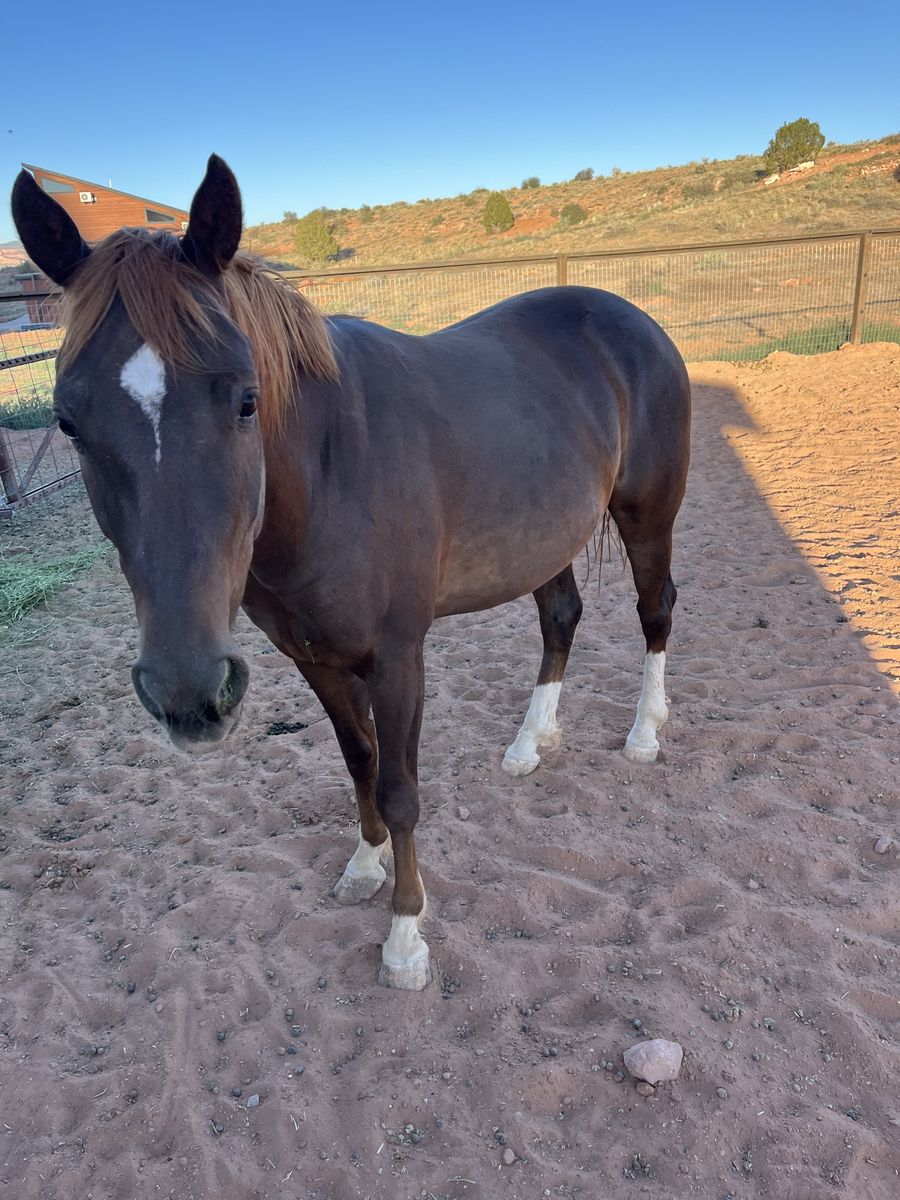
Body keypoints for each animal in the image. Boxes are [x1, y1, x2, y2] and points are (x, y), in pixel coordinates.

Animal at [11, 155, 691, 991]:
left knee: (655, 610)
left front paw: (406, 935)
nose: (186, 691)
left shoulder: (397, 658)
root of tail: (630, 318)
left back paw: (644, 734)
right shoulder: (315, 658)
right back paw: (532, 743)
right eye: (68, 421)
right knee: (560, 617)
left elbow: (400, 789)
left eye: (247, 399)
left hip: (646, 516)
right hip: (545, 539)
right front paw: (365, 868)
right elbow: (359, 761)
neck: (329, 472)